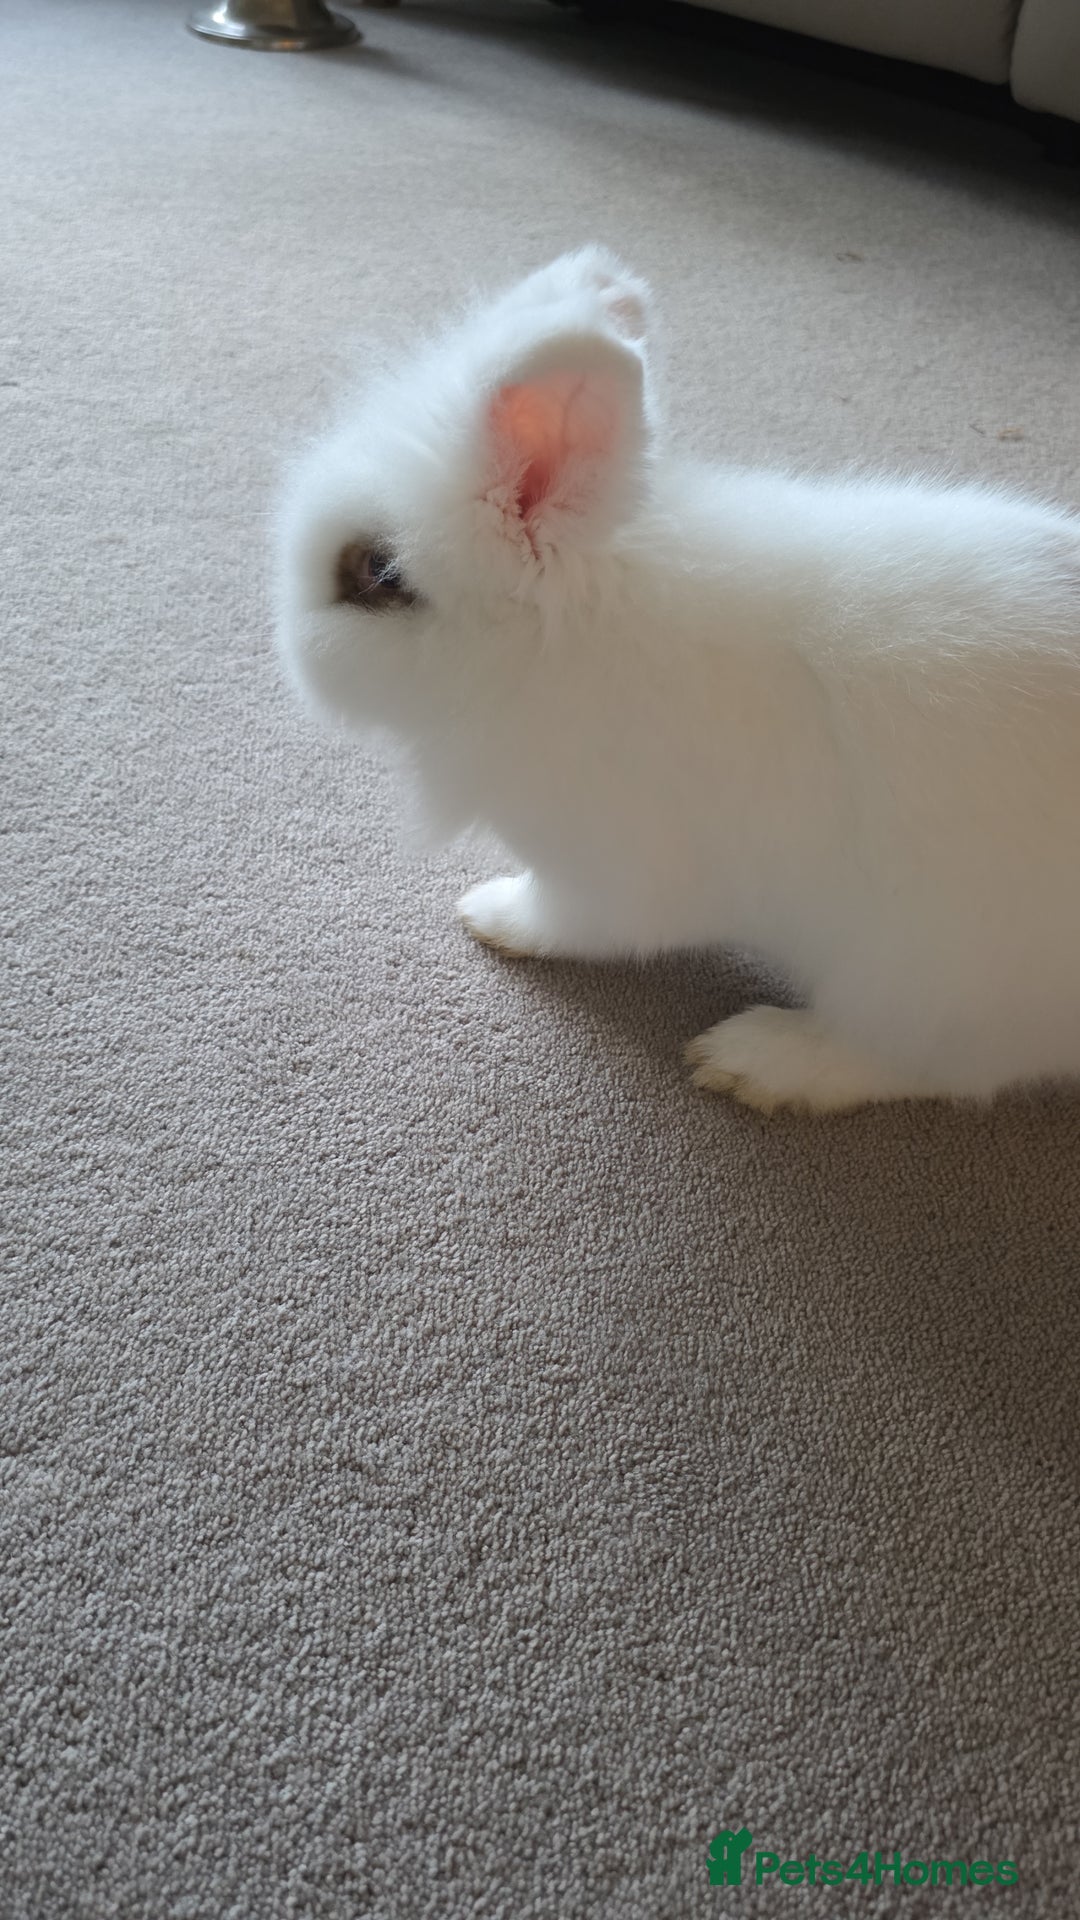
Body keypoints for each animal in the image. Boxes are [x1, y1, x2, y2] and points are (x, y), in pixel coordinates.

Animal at [276, 247, 1080, 1115]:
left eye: (377, 574)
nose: (287, 645)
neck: (561, 641)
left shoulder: (605, 871)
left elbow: (568, 919)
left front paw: (490, 915)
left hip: (927, 977)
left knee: (930, 1064)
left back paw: (756, 1059)